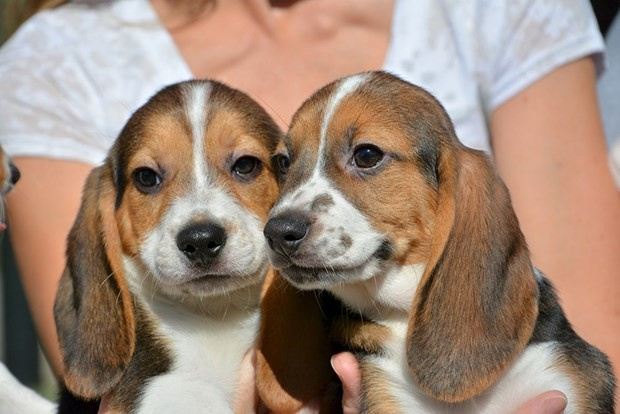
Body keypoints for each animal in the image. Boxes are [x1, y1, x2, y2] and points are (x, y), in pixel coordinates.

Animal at [54, 79, 282, 412]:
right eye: (146, 177)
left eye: (246, 165)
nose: (200, 241)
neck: (216, 314)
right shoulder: (150, 387)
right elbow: (187, 389)